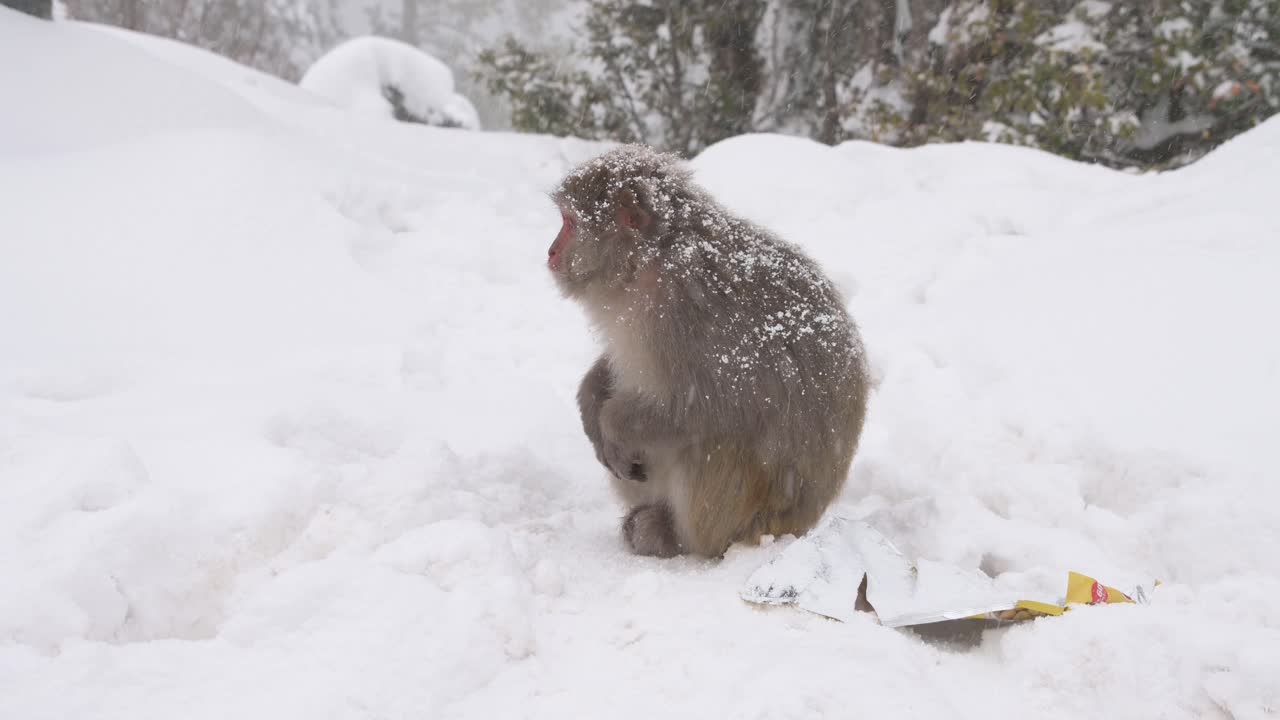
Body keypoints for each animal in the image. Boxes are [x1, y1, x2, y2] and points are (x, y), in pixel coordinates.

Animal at [547, 145, 868, 558]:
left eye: (568, 223)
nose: (551, 251)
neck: (650, 259)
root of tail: (801, 526)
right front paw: (590, 400)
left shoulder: (686, 308)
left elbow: (707, 402)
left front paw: (612, 424)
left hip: (744, 517)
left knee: (710, 440)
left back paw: (671, 537)